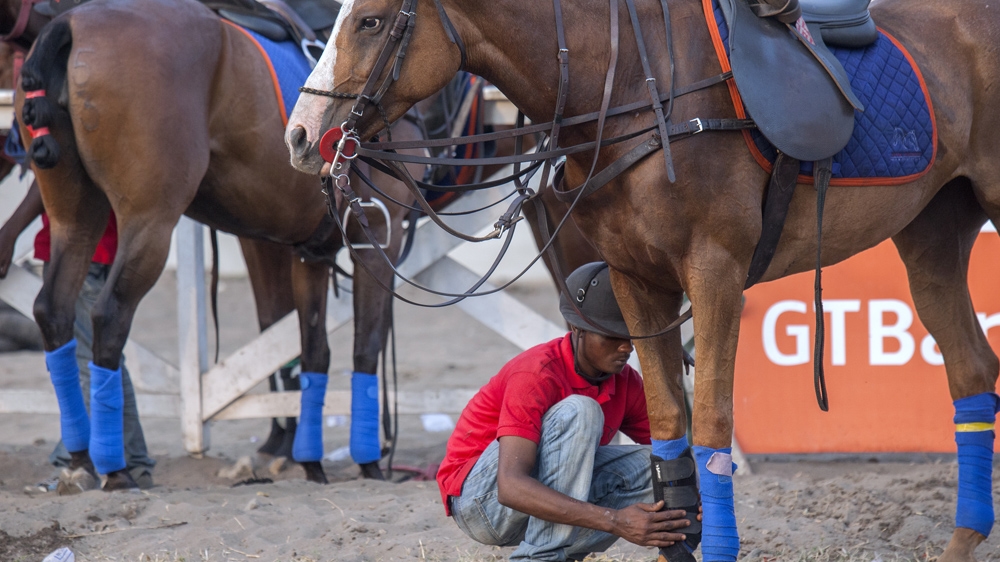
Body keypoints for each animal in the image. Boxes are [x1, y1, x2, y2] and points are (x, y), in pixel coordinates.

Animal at [10, 0, 433, 490]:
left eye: (369, 23)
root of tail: (71, 22)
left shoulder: (310, 251)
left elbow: (312, 352)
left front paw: (309, 461)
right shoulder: (378, 236)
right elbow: (365, 345)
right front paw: (365, 463)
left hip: (75, 217)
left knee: (52, 309)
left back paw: (81, 455)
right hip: (149, 222)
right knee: (109, 315)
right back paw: (114, 468)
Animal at [284, 0, 1000, 560]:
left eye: (372, 21)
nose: (299, 134)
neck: (634, 85)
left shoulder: (715, 271)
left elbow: (710, 423)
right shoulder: (637, 279)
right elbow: (667, 425)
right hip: (932, 237)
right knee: (971, 371)